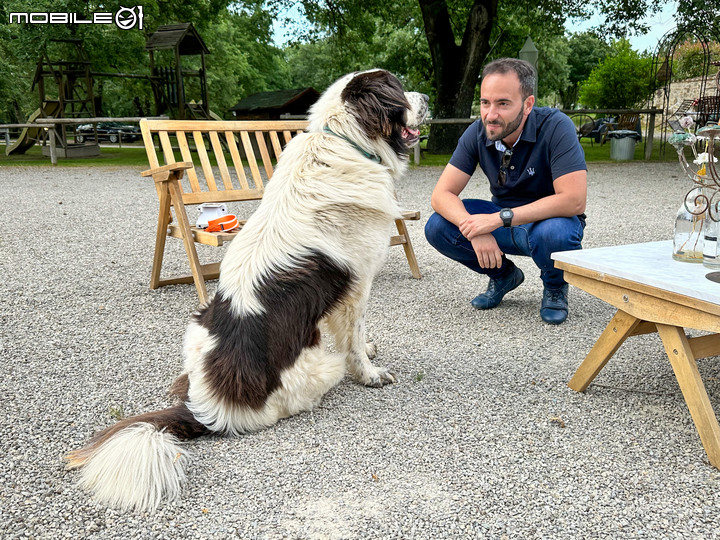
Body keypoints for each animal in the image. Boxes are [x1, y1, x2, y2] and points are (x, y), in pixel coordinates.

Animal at [66, 69, 428, 512]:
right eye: (399, 87)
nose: (427, 98)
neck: (346, 141)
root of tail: (207, 409)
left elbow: (352, 333)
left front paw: (371, 350)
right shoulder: (357, 283)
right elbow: (354, 339)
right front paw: (370, 372)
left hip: (194, 330)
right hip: (317, 368)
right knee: (330, 365)